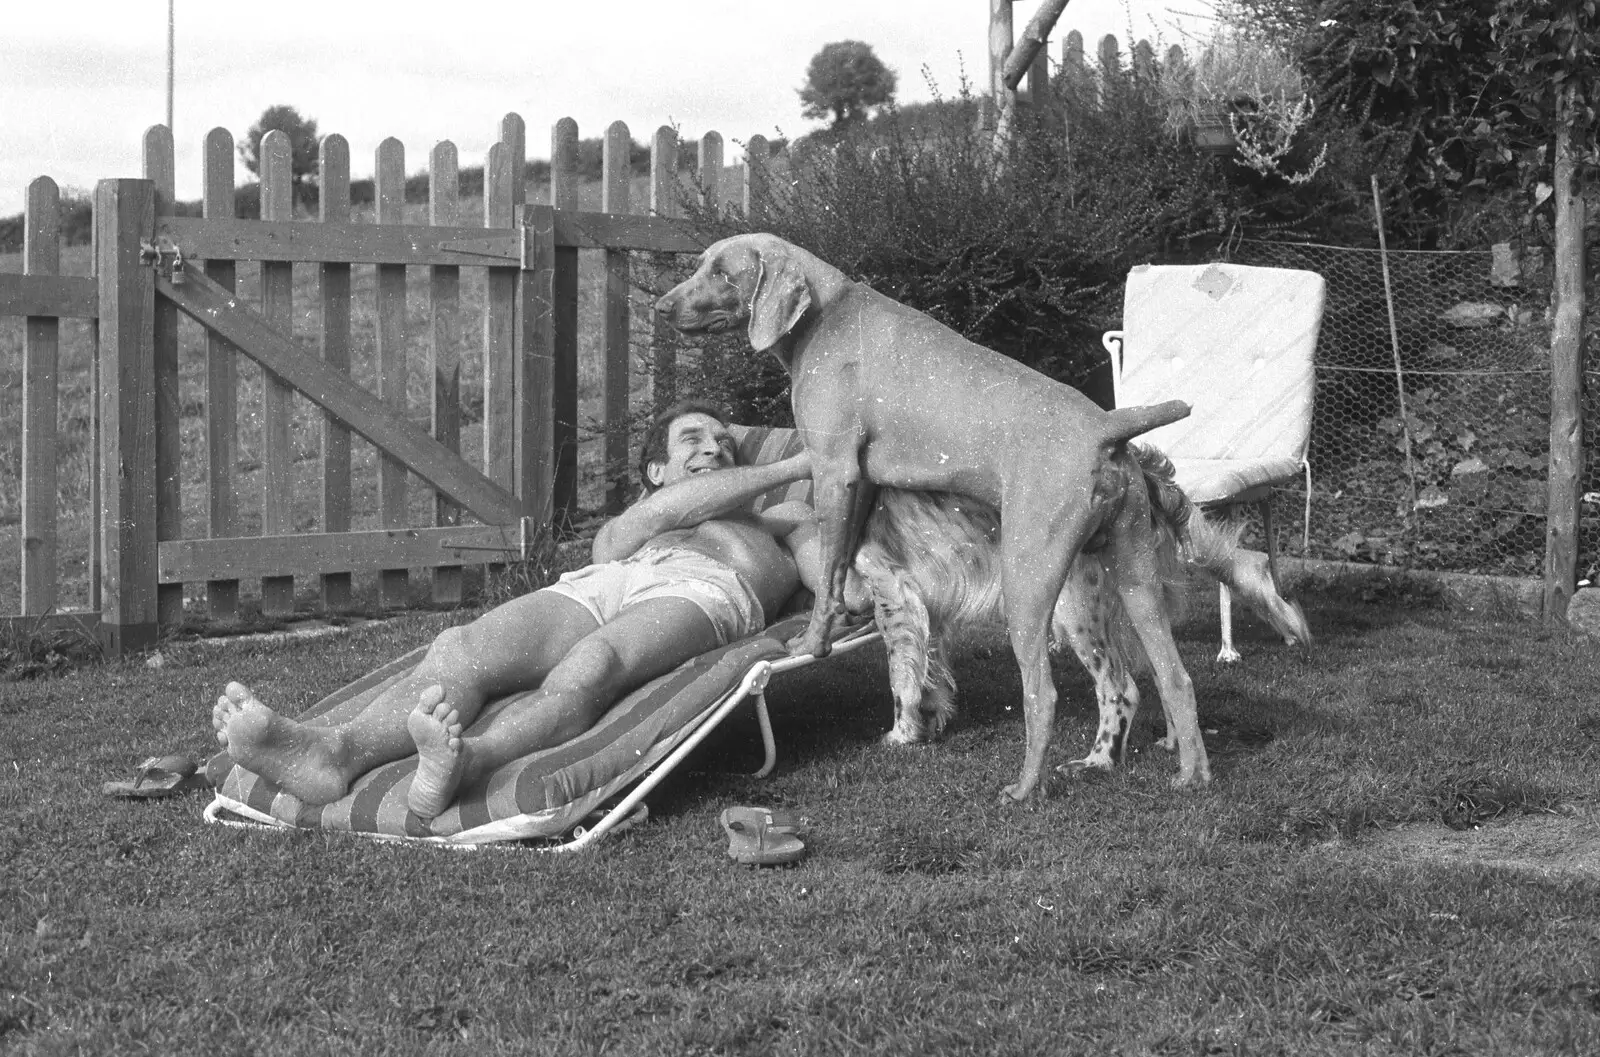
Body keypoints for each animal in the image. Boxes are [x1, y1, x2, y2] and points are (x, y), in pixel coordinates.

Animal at [844, 441, 1305, 770]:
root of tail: (1139, 471)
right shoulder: (928, 606)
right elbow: (931, 671)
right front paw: (931, 720)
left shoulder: (893, 590)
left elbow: (901, 677)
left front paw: (902, 734)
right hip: (1132, 604)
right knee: (1168, 674)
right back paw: (1173, 742)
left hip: (1079, 609)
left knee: (1122, 689)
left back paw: (1097, 762)